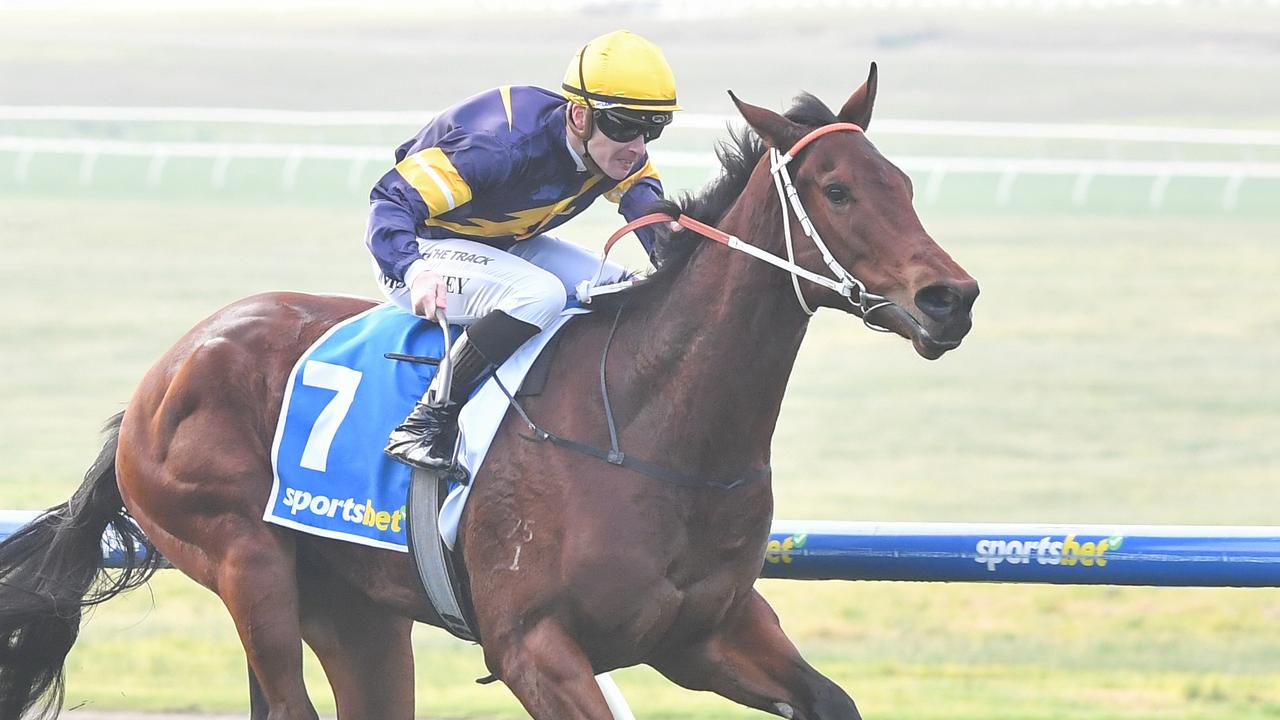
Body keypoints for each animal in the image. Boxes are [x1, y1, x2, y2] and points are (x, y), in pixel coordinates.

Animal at [2, 64, 977, 712]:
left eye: (902, 181)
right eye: (837, 190)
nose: (951, 299)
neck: (655, 425)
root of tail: (163, 376)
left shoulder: (708, 633)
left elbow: (832, 699)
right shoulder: (534, 645)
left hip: (355, 606)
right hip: (246, 563)